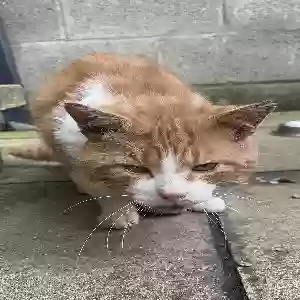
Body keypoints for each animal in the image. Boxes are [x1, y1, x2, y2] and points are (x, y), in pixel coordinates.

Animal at [7, 52, 276, 230]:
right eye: (134, 168)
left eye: (205, 167)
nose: (172, 195)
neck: (149, 93)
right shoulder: (64, 134)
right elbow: (92, 179)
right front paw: (117, 211)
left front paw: (206, 200)